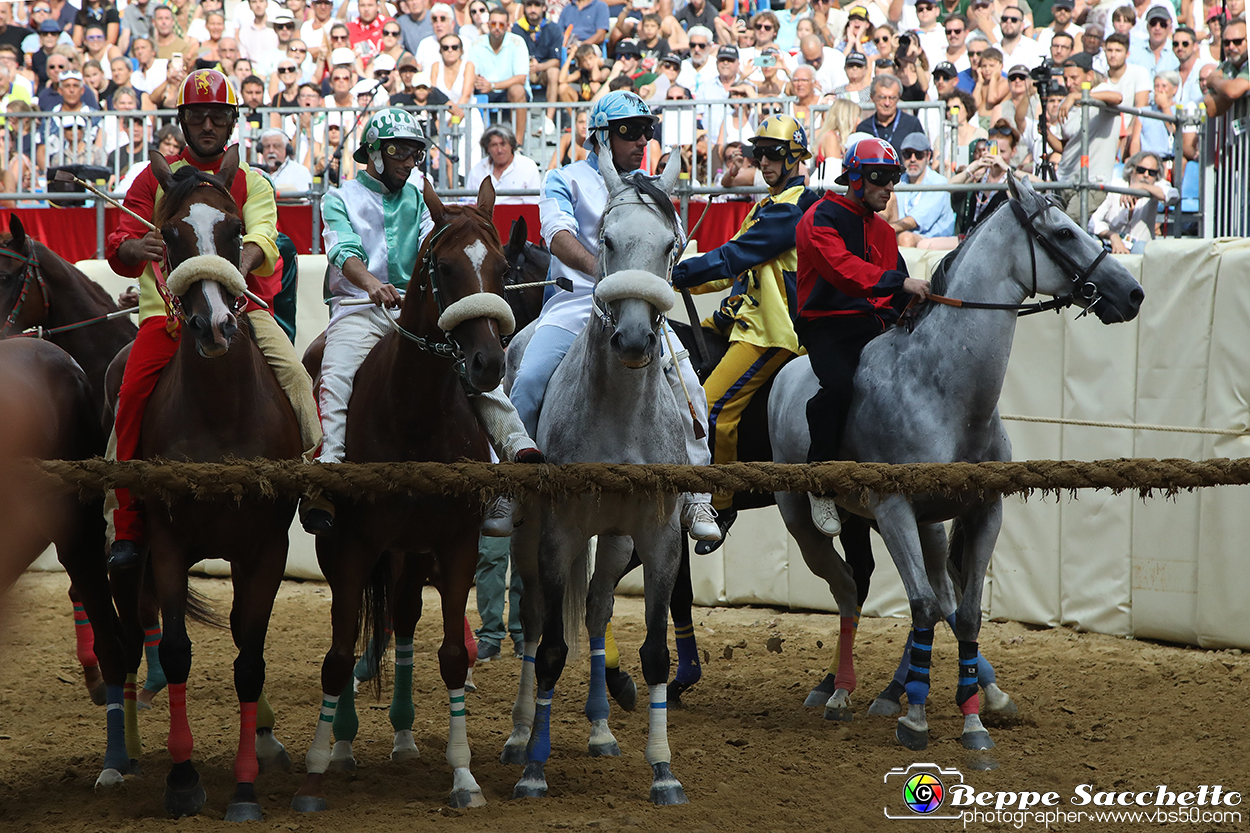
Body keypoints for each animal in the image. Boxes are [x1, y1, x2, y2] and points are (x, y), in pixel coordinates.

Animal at [130, 147, 302, 815]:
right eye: (173, 235)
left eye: (231, 232)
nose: (212, 327)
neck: (222, 415)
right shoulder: (168, 543)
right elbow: (175, 650)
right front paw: (183, 778)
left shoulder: (266, 548)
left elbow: (249, 657)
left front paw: (247, 785)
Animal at [290, 176, 510, 810]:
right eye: (446, 266)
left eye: (504, 267)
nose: (488, 364)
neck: (413, 412)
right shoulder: (351, 547)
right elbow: (339, 655)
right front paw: (316, 767)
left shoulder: (456, 543)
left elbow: (453, 655)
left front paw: (463, 776)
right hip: (354, 549)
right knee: (356, 631)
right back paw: (343, 745)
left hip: (411, 554)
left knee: (405, 619)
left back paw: (405, 737)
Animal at [497, 145, 695, 800]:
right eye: (606, 239)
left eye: (670, 244)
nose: (633, 337)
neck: (621, 417)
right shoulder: (560, 532)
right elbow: (552, 648)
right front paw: (534, 768)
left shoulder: (659, 537)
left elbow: (655, 651)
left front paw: (663, 772)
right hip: (535, 535)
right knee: (536, 622)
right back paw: (519, 735)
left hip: (613, 538)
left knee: (598, 609)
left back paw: (602, 729)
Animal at [760, 171, 1145, 750]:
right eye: (1062, 231)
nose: (1133, 292)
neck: (944, 392)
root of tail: (785, 375)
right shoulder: (894, 510)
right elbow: (920, 605)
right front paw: (916, 718)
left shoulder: (982, 512)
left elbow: (963, 613)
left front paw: (977, 714)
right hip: (805, 521)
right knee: (850, 592)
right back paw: (840, 689)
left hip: (928, 528)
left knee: (934, 595)